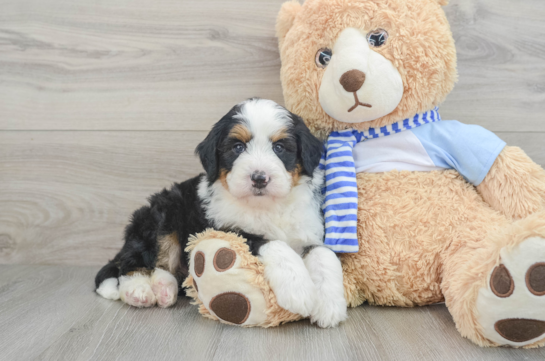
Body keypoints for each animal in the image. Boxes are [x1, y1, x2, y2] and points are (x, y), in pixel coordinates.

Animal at [95, 97, 346, 326]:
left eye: (279, 148)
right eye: (238, 147)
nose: (259, 178)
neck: (267, 206)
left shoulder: (309, 229)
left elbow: (324, 255)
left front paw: (330, 305)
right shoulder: (225, 229)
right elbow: (274, 244)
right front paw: (298, 290)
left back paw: (164, 288)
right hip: (162, 215)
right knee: (134, 262)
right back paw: (138, 290)